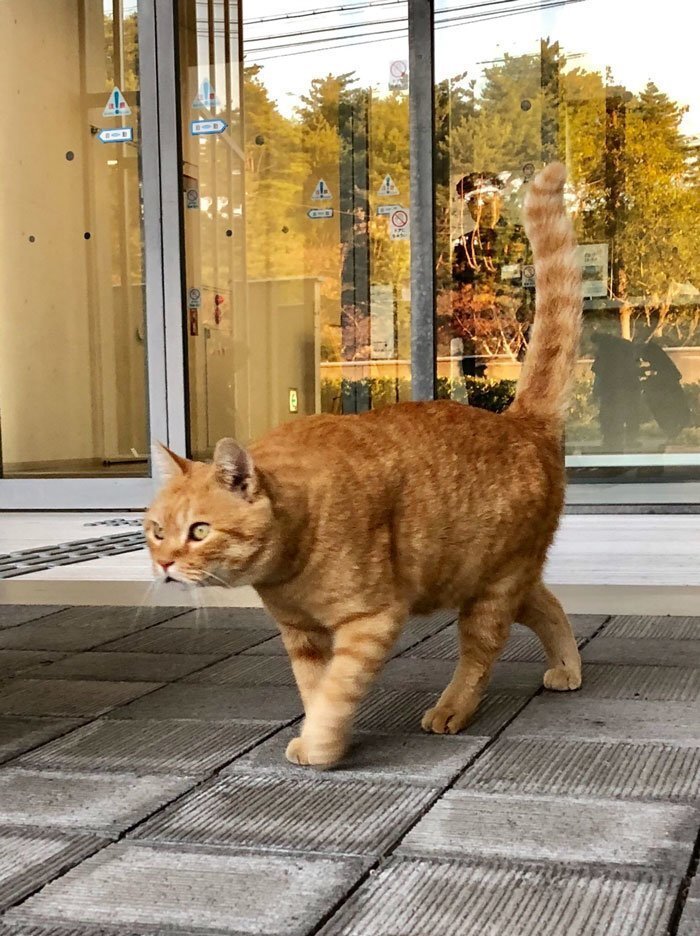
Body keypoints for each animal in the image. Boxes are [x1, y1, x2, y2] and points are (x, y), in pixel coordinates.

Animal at [149, 165, 584, 768]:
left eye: (198, 531)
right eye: (154, 531)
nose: (164, 564)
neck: (287, 568)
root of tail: (519, 420)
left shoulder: (370, 622)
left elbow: (337, 691)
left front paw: (322, 745)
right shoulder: (301, 635)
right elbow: (315, 688)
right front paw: (319, 736)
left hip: (492, 588)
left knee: (480, 655)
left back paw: (452, 709)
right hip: (487, 577)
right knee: (549, 604)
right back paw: (568, 667)